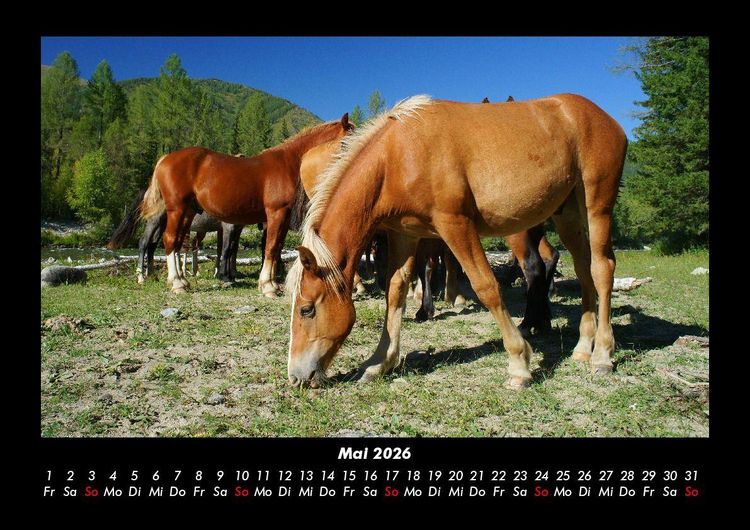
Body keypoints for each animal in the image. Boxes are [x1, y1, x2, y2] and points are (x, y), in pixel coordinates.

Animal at [139, 114, 354, 296]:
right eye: (346, 140)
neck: (288, 163)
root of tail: (165, 159)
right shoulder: (276, 213)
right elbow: (270, 247)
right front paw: (267, 286)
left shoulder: (282, 218)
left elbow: (277, 248)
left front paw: (273, 283)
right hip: (176, 209)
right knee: (169, 239)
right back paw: (175, 283)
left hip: (188, 212)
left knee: (176, 242)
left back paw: (182, 281)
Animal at [286, 94, 627, 389]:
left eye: (306, 310)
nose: (296, 377)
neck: (399, 154)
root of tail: (604, 117)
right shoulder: (405, 234)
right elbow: (395, 292)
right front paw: (380, 362)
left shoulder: (455, 225)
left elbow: (486, 287)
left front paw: (519, 363)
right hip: (568, 214)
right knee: (583, 270)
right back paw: (582, 347)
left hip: (597, 206)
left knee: (602, 269)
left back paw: (602, 354)